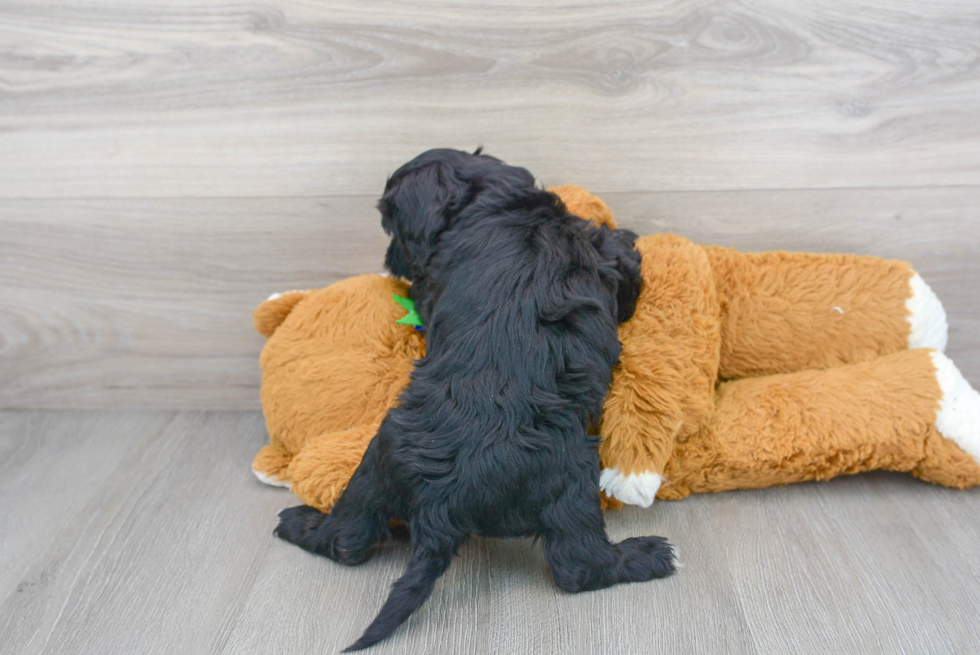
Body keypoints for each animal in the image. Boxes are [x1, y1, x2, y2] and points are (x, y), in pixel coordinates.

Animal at [276, 149, 672, 652]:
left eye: (390, 224)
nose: (391, 261)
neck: (494, 204)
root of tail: (442, 502)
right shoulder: (605, 255)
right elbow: (625, 252)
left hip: (377, 462)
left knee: (346, 538)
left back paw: (300, 523)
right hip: (572, 480)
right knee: (578, 566)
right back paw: (649, 556)